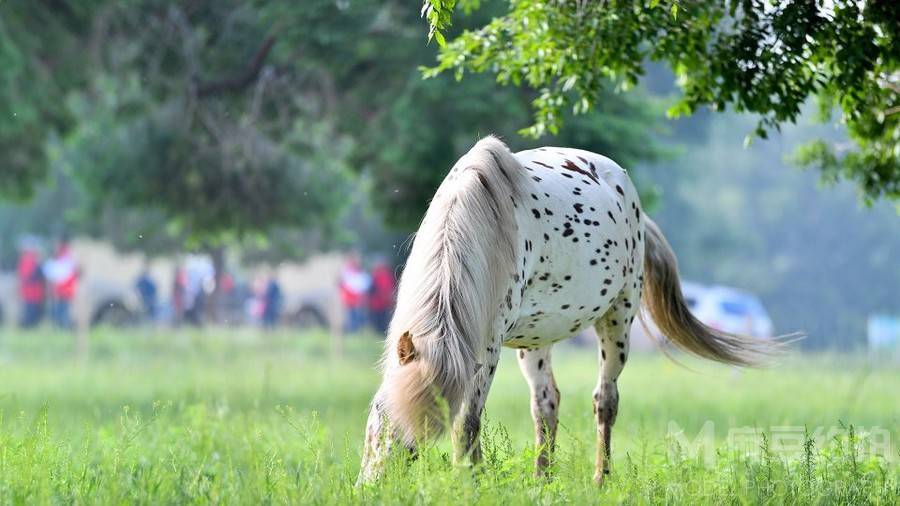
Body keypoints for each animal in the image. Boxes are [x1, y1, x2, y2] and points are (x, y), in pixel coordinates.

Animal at [358, 136, 772, 484]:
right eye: (377, 416)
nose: (370, 486)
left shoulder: (485, 348)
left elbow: (467, 422)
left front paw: (470, 484)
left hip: (618, 318)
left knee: (605, 401)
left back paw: (601, 479)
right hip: (536, 338)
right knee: (546, 403)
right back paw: (543, 480)